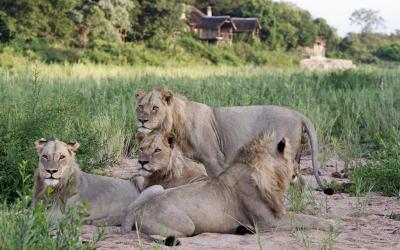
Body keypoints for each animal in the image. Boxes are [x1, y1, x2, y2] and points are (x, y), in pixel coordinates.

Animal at [119, 134, 332, 237]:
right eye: (292, 159)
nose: (297, 171)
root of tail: (139, 211)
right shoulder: (267, 222)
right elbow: (304, 218)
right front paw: (331, 224)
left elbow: (305, 215)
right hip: (186, 226)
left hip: (157, 189)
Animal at [134, 88, 332, 195]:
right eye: (140, 106)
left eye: (155, 108)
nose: (142, 120)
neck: (176, 121)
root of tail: (299, 115)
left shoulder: (213, 159)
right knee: (300, 181)